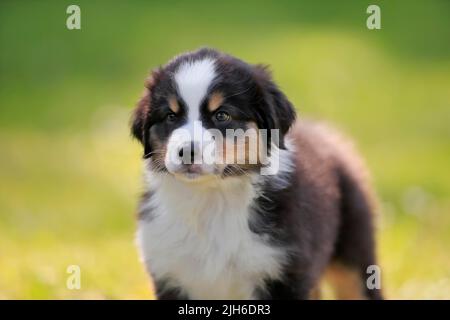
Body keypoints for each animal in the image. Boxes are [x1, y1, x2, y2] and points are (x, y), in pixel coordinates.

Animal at [130, 48, 384, 300]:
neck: (212, 198)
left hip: (354, 256)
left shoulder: (285, 272)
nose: (186, 152)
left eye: (222, 115)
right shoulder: (170, 274)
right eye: (170, 116)